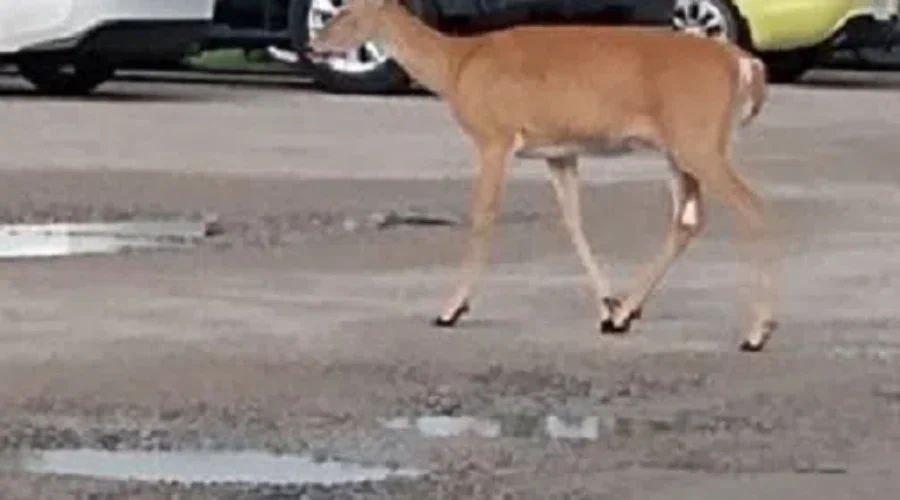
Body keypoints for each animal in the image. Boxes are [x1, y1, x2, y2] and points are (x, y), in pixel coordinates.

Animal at [309, 0, 777, 352]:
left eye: (345, 9)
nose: (313, 45)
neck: (457, 65)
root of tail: (745, 62)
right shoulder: (560, 152)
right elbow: (573, 221)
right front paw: (606, 306)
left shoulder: (494, 137)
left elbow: (484, 217)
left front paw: (451, 309)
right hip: (680, 148)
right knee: (689, 218)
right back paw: (626, 314)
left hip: (697, 138)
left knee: (752, 207)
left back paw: (757, 333)